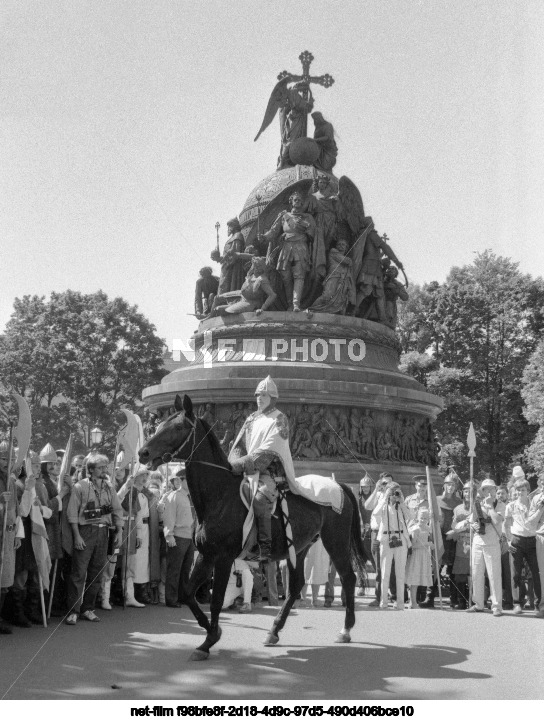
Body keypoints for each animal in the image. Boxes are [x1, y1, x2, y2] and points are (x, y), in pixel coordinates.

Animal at [139, 394, 370, 660]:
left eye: (177, 427)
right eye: (159, 425)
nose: (143, 453)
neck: (220, 496)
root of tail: (339, 486)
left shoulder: (223, 558)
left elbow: (216, 600)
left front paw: (209, 640)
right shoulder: (206, 555)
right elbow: (187, 593)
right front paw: (212, 633)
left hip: (336, 542)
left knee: (349, 577)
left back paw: (345, 630)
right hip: (299, 548)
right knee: (295, 586)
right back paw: (274, 631)